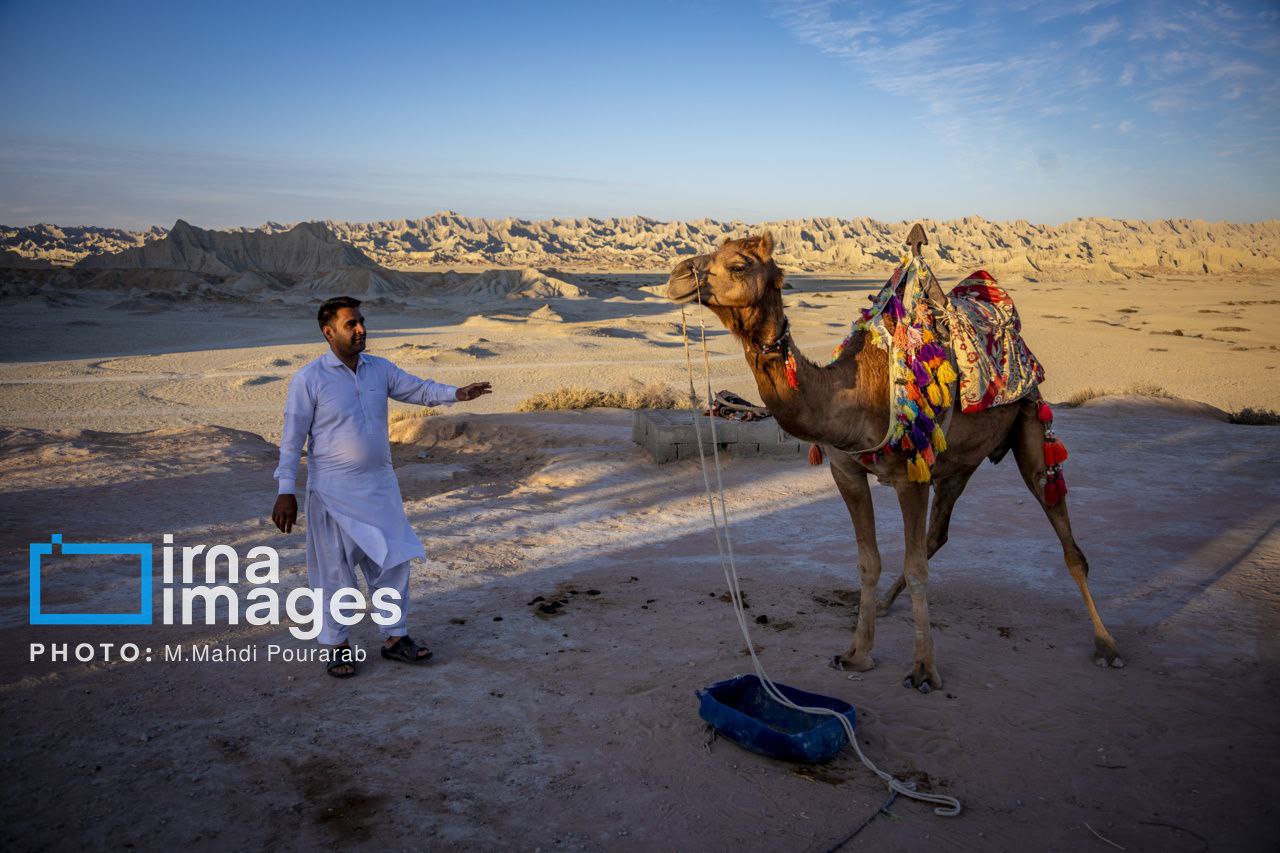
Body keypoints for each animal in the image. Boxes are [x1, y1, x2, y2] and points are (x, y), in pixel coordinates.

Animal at [670, 230, 1121, 691]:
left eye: (739, 264)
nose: (676, 277)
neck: (851, 392)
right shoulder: (847, 471)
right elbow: (869, 562)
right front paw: (857, 653)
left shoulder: (911, 476)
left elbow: (917, 567)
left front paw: (924, 669)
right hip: (959, 463)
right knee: (938, 534)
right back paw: (887, 602)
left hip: (1029, 421)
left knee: (1062, 530)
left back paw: (1106, 644)